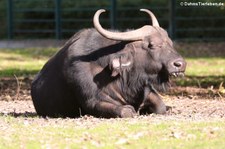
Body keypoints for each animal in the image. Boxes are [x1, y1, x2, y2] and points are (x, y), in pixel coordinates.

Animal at [31, 9, 186, 117]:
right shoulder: (92, 102)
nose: (180, 64)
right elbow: (125, 111)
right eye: (151, 45)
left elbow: (161, 106)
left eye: (170, 43)